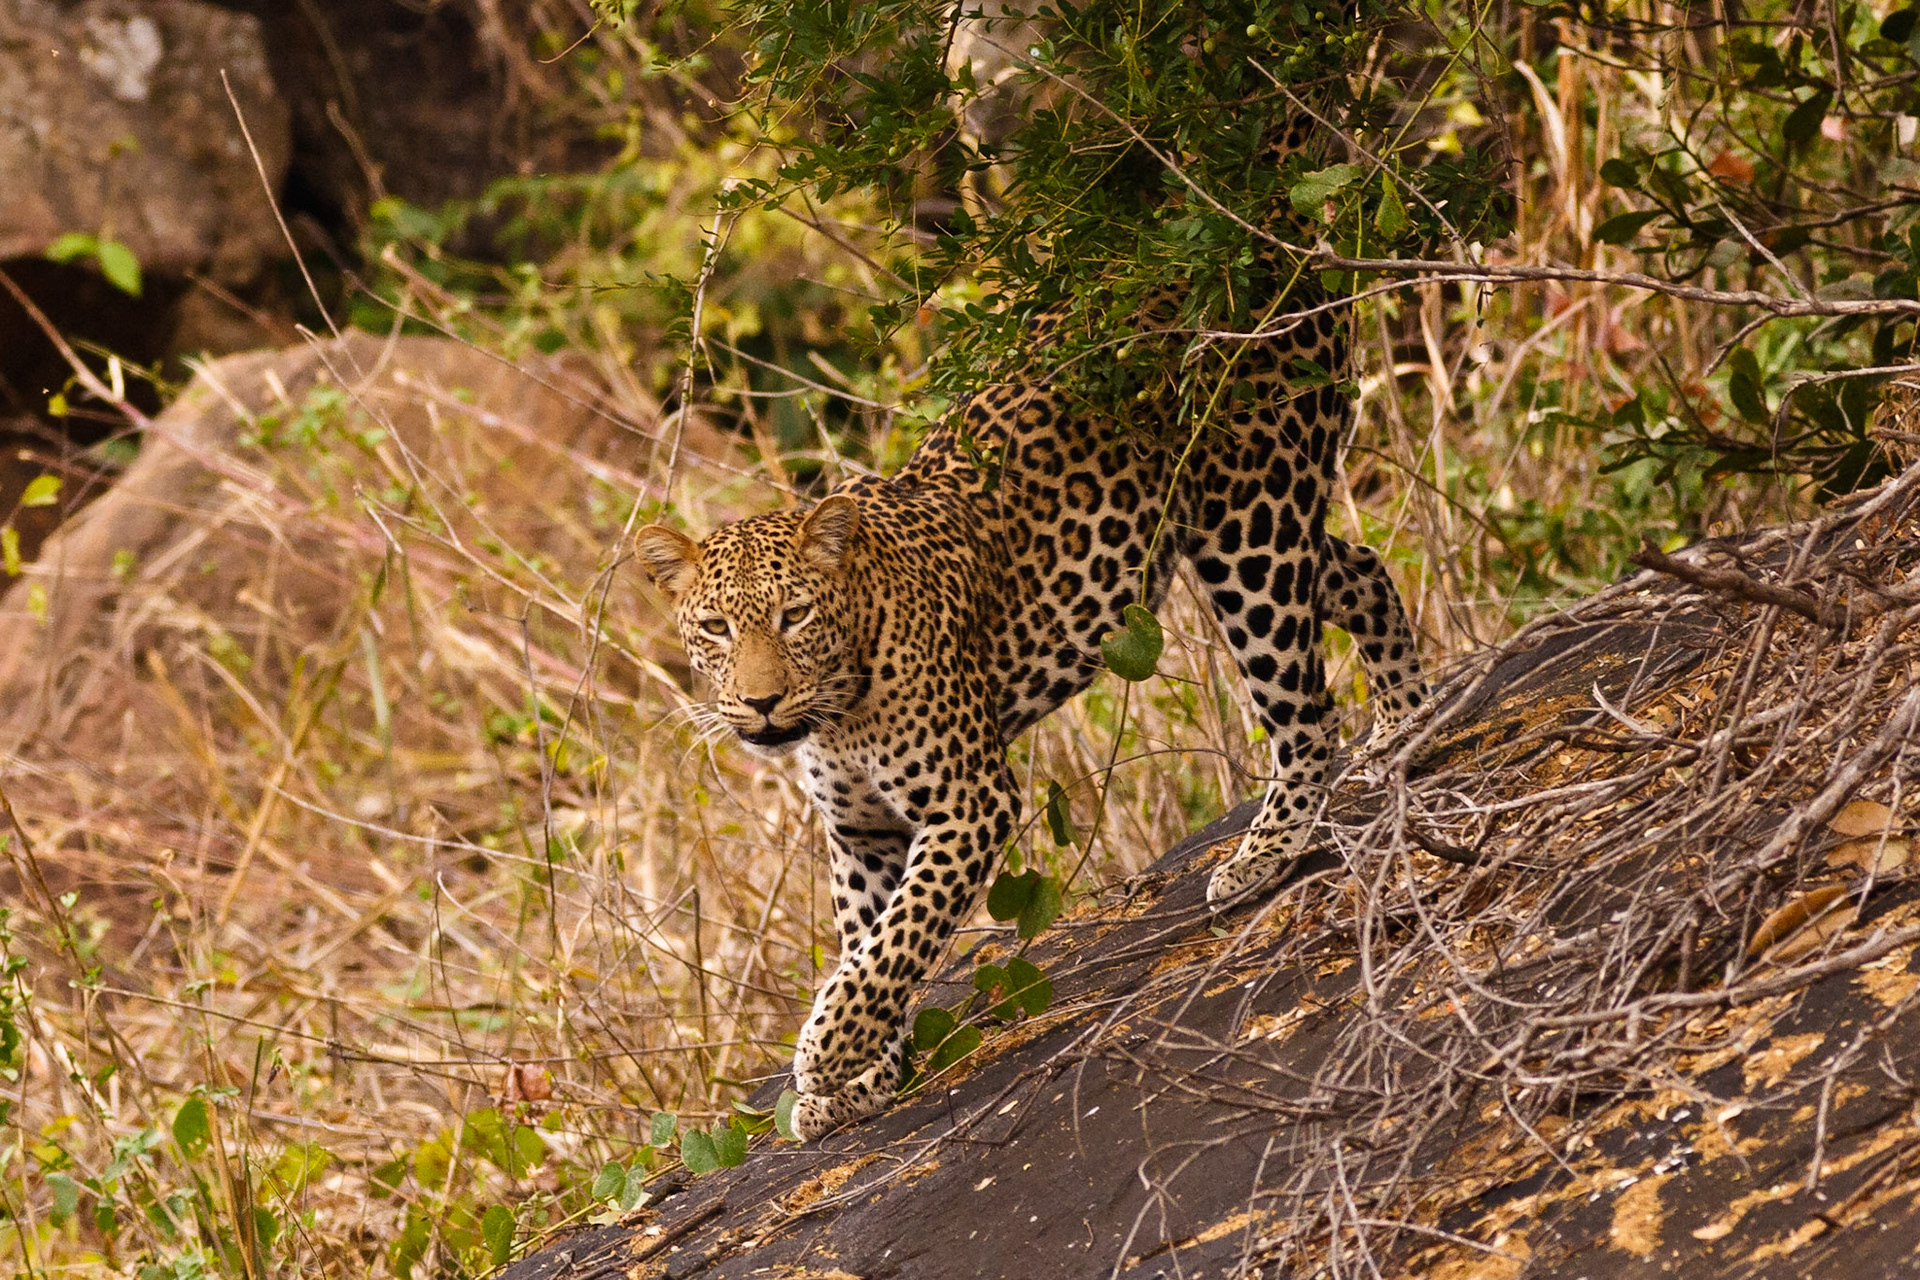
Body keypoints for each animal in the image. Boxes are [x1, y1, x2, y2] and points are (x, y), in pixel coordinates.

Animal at [634, 304, 1426, 1143]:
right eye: (716, 628)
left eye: (794, 617)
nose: (759, 702)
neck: (840, 705)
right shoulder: (861, 832)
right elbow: (871, 943)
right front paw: (866, 1075)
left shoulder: (969, 801)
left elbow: (900, 937)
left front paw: (826, 1053)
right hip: (1274, 526)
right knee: (1363, 569)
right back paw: (1404, 727)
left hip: (1250, 530)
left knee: (1304, 713)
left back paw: (1262, 855)